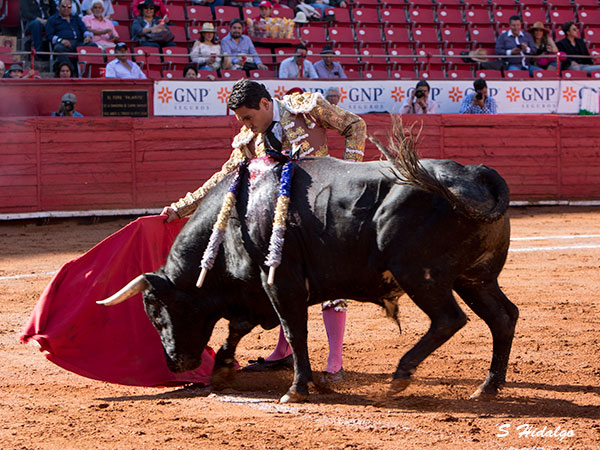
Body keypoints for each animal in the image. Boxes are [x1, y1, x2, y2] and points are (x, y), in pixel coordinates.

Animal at [98, 123, 518, 403]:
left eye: (157, 312)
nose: (174, 363)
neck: (235, 218)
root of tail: (475, 173)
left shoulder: (279, 283)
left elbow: (293, 330)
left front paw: (297, 389)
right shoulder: (256, 291)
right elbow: (239, 327)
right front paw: (223, 367)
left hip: (419, 274)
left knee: (449, 319)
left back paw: (401, 376)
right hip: (475, 277)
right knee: (503, 316)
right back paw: (487, 387)